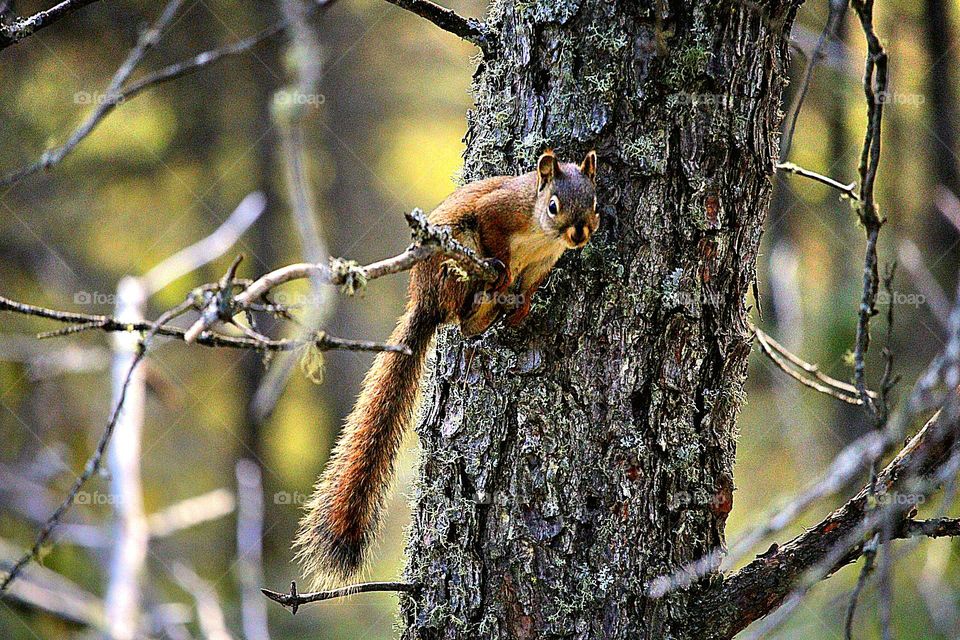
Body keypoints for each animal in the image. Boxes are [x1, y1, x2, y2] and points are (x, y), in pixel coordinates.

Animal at [293, 149, 599, 588]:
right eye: (554, 205)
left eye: (594, 202)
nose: (579, 235)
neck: (542, 231)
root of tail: (425, 301)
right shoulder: (499, 211)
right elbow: (494, 231)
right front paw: (504, 269)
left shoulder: (544, 264)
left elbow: (530, 286)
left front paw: (523, 306)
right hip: (453, 259)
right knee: (461, 313)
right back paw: (487, 291)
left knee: (469, 324)